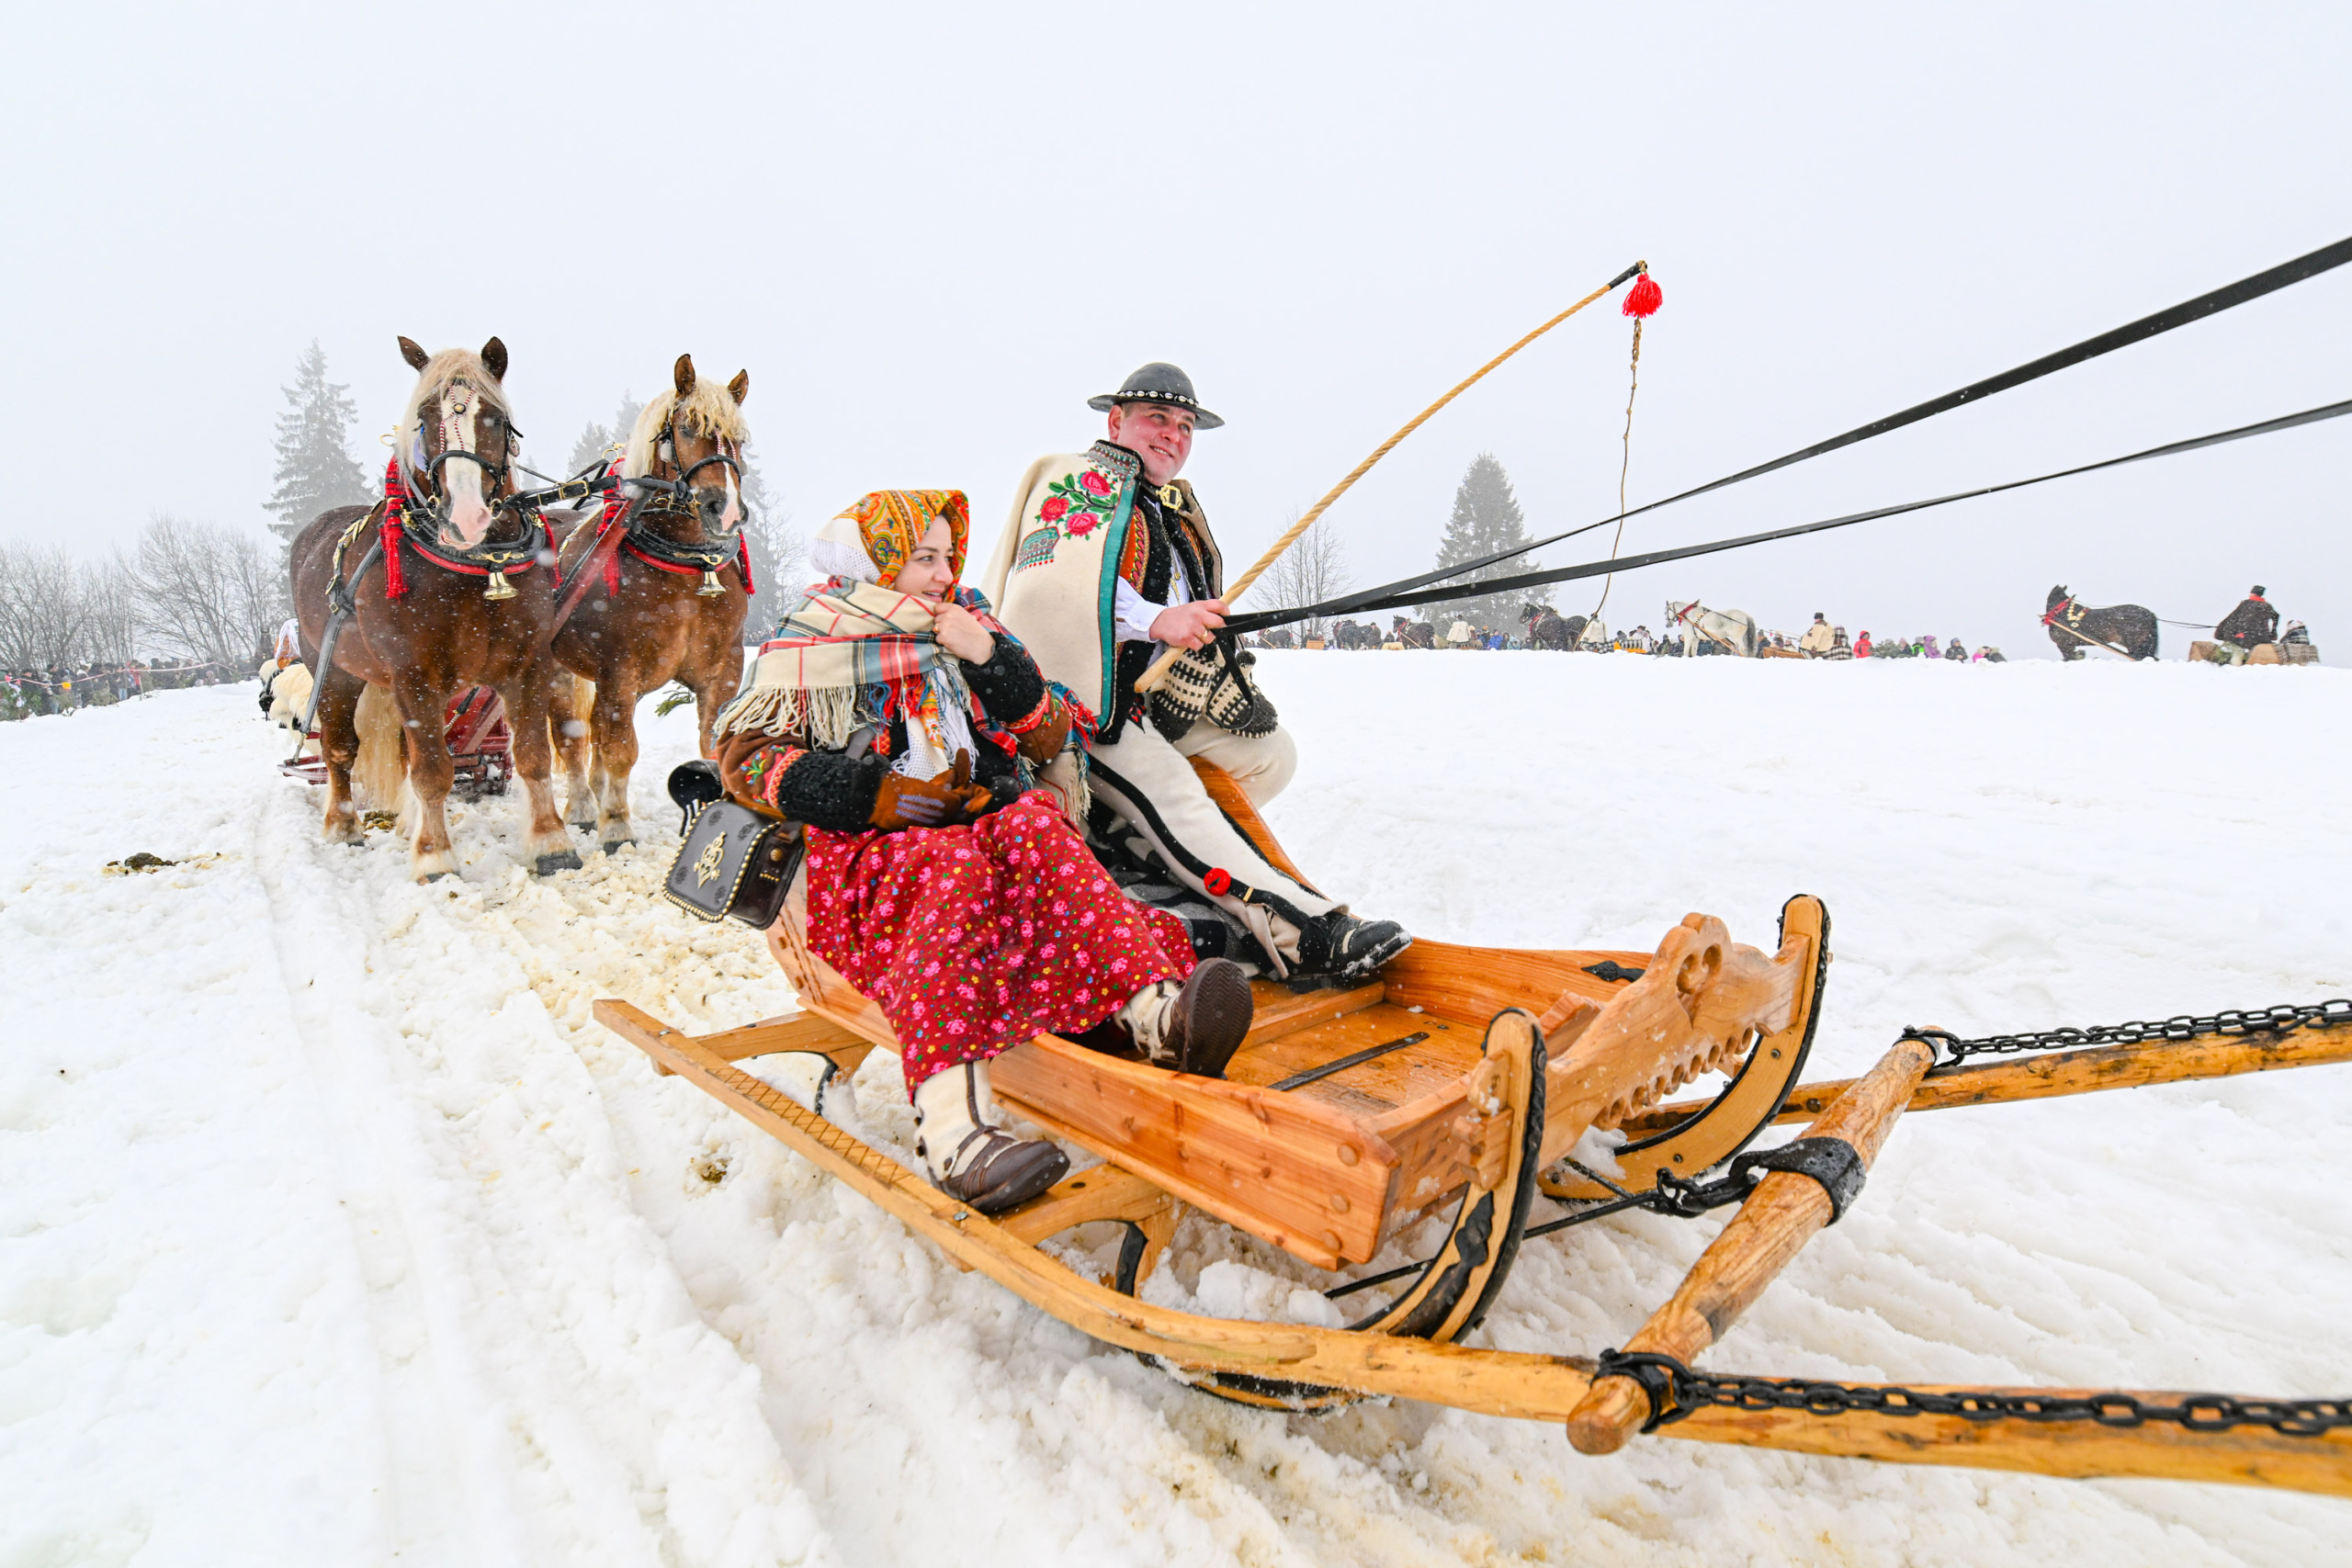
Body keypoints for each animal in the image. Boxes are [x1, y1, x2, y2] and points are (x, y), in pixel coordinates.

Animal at [289, 336, 578, 881]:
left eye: (495, 418)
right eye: (424, 418)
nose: (465, 516)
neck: (478, 564)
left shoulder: (528, 666)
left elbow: (532, 757)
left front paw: (552, 843)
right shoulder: (414, 676)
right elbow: (432, 771)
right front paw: (435, 856)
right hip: (335, 670)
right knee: (340, 750)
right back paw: (344, 825)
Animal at [547, 355, 752, 852]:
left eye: (739, 439)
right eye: (687, 428)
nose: (725, 509)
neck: (688, 565)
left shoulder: (723, 670)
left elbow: (710, 744)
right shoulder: (619, 667)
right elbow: (621, 747)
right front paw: (616, 826)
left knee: (594, 730)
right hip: (555, 669)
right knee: (573, 734)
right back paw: (583, 806)